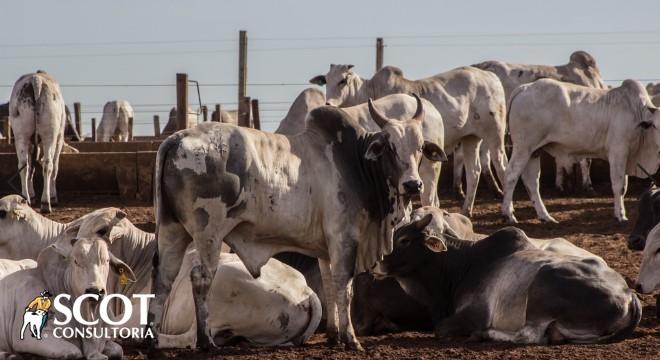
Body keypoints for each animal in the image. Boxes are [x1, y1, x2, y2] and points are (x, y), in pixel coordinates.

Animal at [312, 64, 508, 217]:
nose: (328, 103)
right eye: (326, 80)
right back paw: (466, 211)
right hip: (470, 139)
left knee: (501, 166)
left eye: (342, 81)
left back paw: (508, 213)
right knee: (474, 171)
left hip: (492, 135)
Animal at [374, 215, 640, 344]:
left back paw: (485, 334)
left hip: (541, 287)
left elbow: (441, 330)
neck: (462, 265)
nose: (377, 263)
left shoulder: (474, 313)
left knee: (531, 337)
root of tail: (628, 294)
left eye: (404, 240)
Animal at [502, 79, 660, 222]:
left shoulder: (627, 156)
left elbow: (624, 187)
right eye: (655, 126)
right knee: (510, 176)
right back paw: (508, 215)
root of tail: (524, 87)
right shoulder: (618, 152)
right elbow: (619, 186)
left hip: (534, 151)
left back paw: (545, 216)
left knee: (532, 182)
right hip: (523, 147)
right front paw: (620, 216)